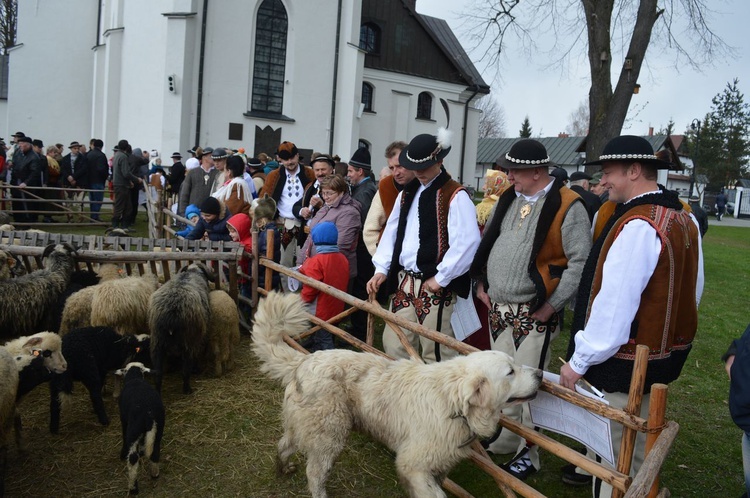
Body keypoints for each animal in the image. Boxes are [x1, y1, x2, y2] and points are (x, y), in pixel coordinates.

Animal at [114, 362, 164, 494]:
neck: (135, 377)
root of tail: (149, 414)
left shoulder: (124, 419)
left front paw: (122, 454)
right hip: (159, 428)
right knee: (155, 450)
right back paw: (154, 473)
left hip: (133, 430)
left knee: (132, 458)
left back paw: (133, 488)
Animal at [149, 262, 214, 394]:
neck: (192, 272)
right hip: (188, 343)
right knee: (186, 370)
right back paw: (187, 389)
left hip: (157, 344)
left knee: (158, 374)